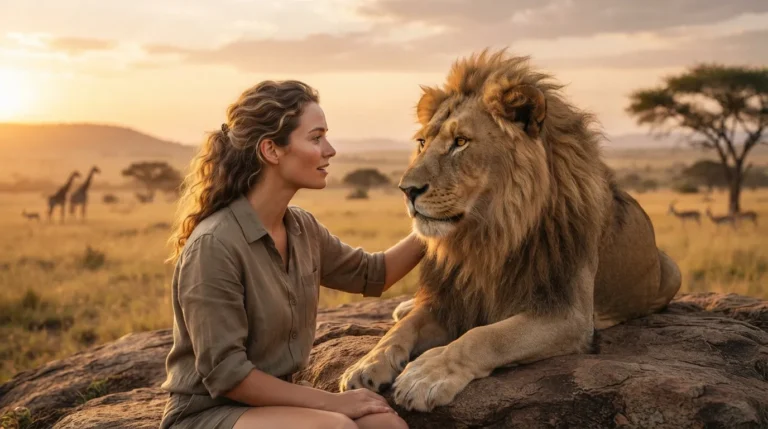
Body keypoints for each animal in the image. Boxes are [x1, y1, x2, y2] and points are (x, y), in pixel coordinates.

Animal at [338, 49, 682, 412]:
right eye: (421, 142)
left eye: (460, 142)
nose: (407, 190)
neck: (489, 234)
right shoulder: (454, 299)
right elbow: (403, 329)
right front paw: (367, 364)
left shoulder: (568, 315)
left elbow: (483, 336)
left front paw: (427, 375)